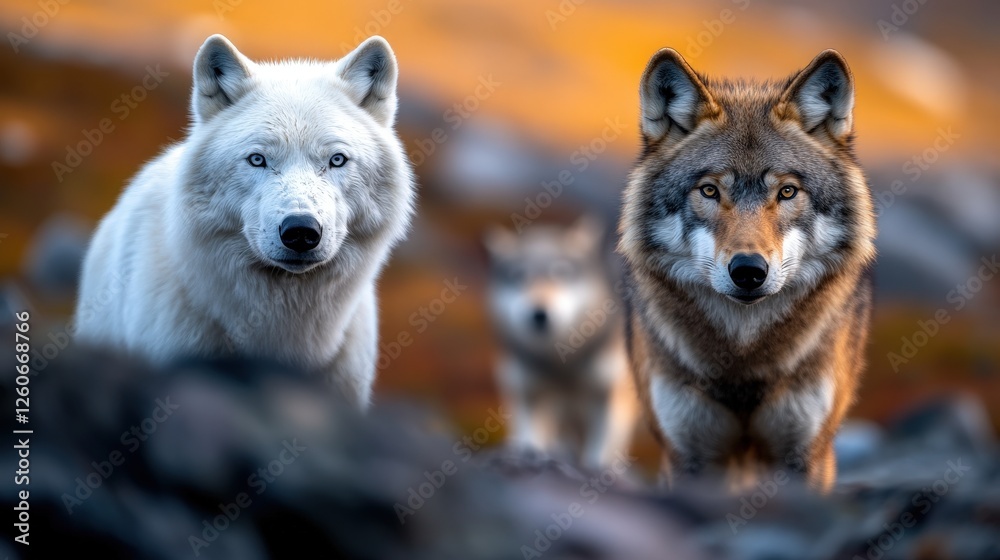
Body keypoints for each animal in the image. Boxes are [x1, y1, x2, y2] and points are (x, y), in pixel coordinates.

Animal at [485, 217, 638, 468]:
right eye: (519, 277)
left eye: (561, 274)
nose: (539, 314)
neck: (562, 361)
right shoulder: (529, 393)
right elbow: (531, 440)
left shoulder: (611, 397)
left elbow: (599, 453)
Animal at [618, 48, 876, 492]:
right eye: (709, 190)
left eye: (787, 191)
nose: (749, 270)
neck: (742, 359)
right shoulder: (689, 454)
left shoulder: (805, 453)